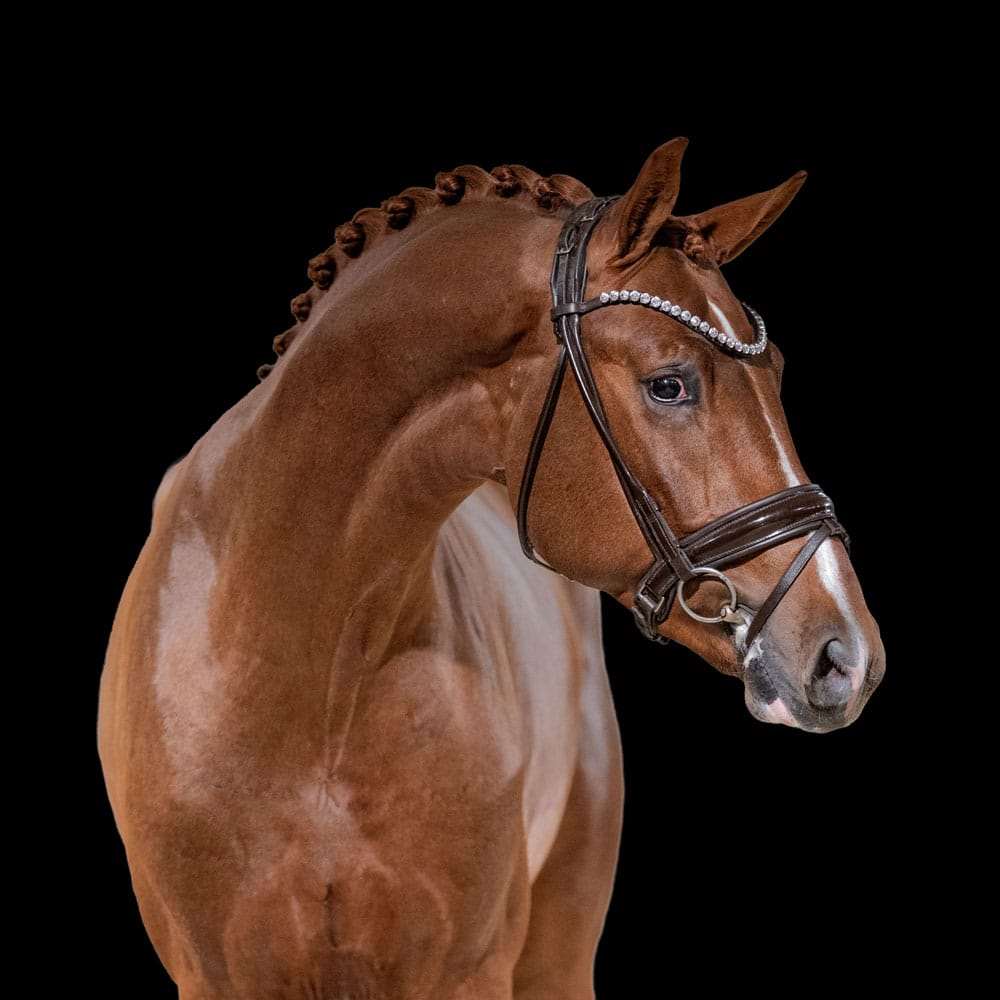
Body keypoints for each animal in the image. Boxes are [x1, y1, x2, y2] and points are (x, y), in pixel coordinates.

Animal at [97, 138, 885, 999]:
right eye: (668, 384)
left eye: (776, 372)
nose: (847, 655)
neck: (308, 662)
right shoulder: (217, 976)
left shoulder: (469, 972)